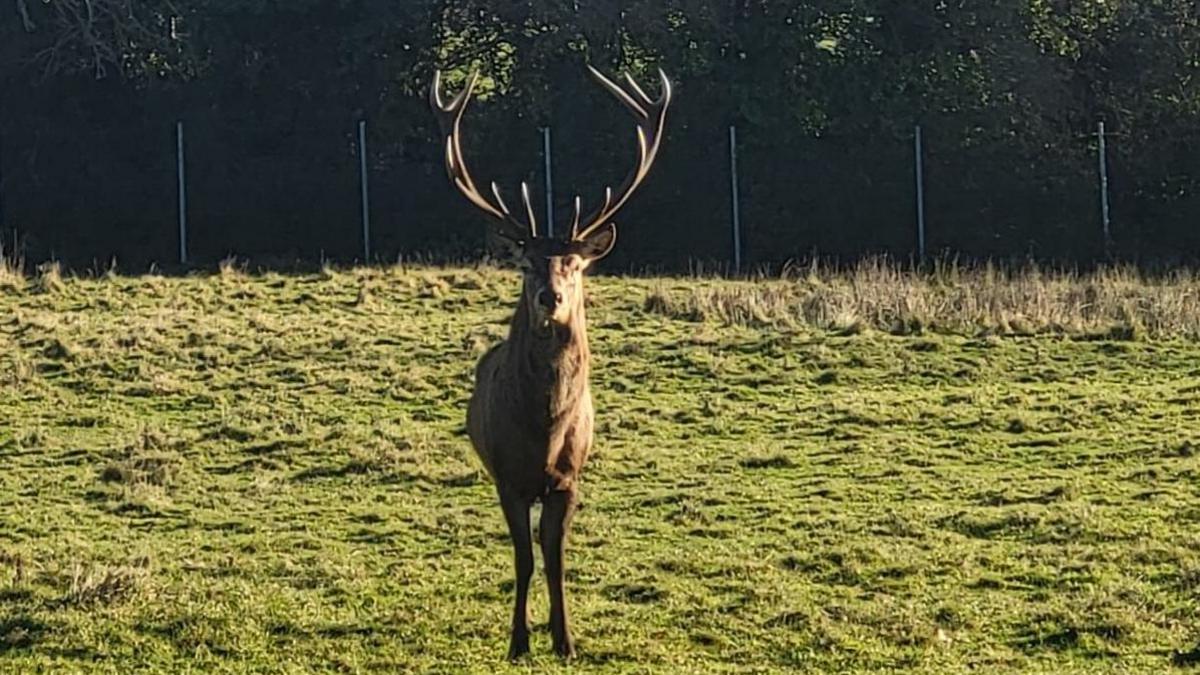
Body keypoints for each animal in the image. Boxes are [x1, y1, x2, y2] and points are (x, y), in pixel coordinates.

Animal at [429, 65, 671, 660]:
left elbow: (556, 559)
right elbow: (523, 559)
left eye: (574, 264)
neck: (543, 429)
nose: (550, 297)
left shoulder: (569, 478)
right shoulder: (508, 478)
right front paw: (519, 641)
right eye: (527, 264)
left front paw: (565, 640)